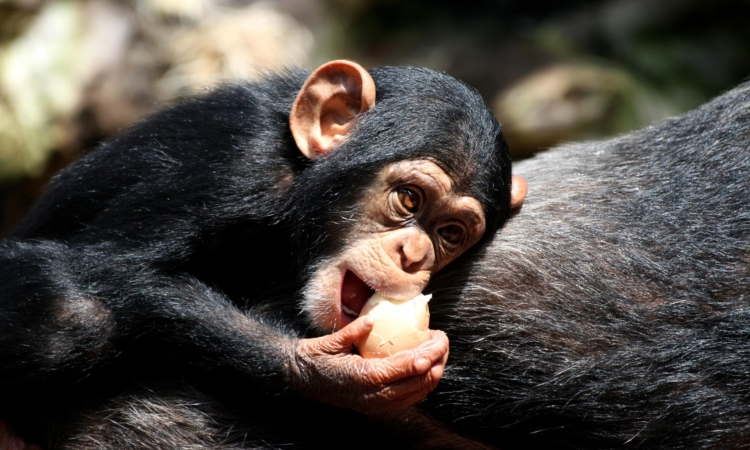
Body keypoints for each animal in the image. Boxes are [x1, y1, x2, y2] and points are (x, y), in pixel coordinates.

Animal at [0, 60, 526, 448]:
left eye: (450, 233)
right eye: (409, 199)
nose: (413, 254)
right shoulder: (235, 165)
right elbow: (120, 265)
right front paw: (328, 371)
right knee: (75, 315)